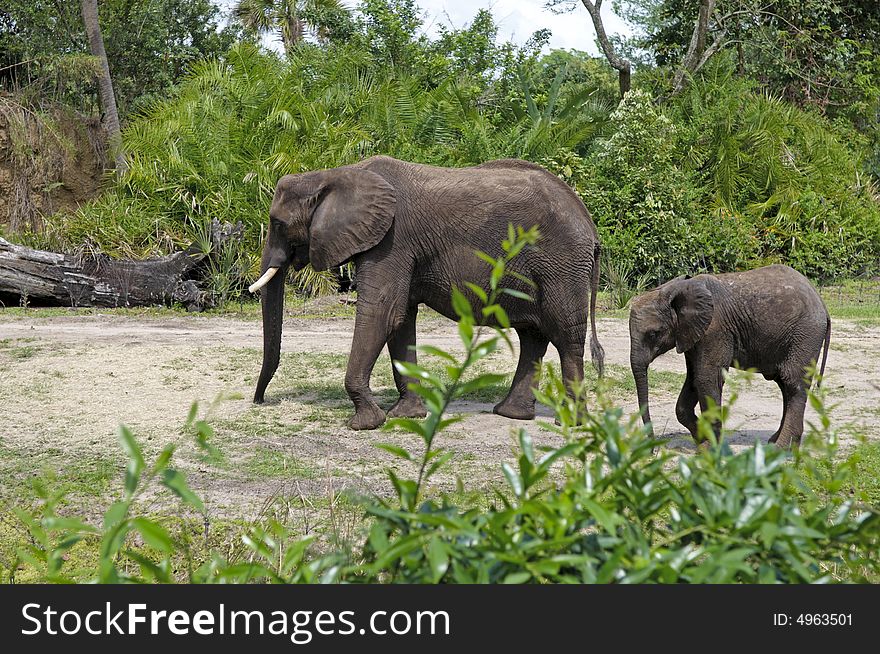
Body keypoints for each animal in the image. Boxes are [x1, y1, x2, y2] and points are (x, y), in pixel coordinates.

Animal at [248, 154, 604, 430]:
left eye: (278, 224)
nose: (259, 401)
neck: (336, 173)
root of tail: (588, 221)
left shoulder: (392, 241)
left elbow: (383, 312)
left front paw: (365, 423)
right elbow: (401, 320)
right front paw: (407, 415)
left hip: (562, 265)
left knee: (565, 336)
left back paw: (570, 422)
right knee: (533, 335)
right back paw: (511, 415)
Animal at [628, 264, 828, 448]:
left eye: (653, 334)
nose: (652, 449)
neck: (672, 290)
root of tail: (821, 302)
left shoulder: (714, 330)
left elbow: (706, 378)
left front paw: (710, 448)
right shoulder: (692, 334)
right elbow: (693, 378)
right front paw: (702, 441)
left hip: (805, 335)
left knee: (793, 383)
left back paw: (782, 448)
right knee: (784, 384)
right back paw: (775, 443)